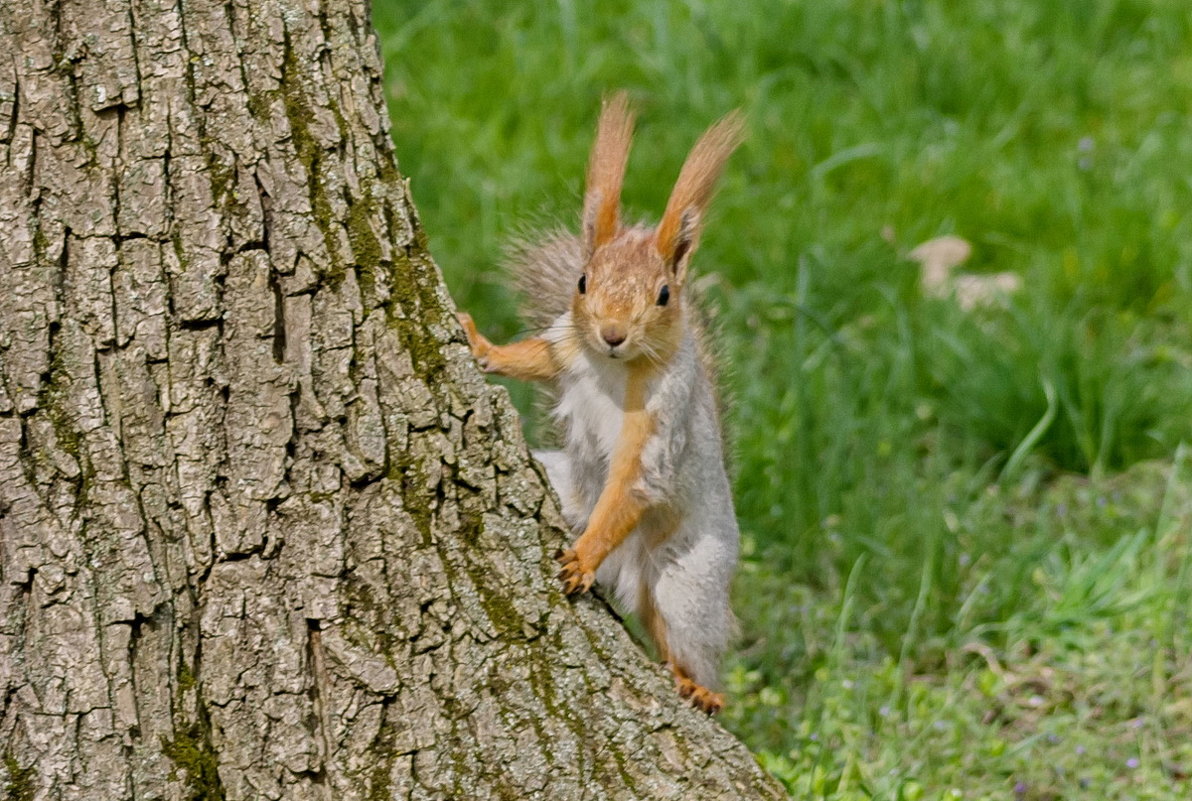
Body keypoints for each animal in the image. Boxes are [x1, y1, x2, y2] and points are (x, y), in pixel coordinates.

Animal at [457, 92, 743, 715]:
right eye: (583, 281)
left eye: (663, 295)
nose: (611, 333)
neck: (614, 369)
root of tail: (629, 573)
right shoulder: (568, 345)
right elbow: (536, 357)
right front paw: (481, 345)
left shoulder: (661, 421)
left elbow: (633, 485)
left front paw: (582, 558)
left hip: (688, 575)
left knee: (686, 633)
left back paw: (701, 687)